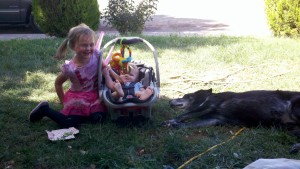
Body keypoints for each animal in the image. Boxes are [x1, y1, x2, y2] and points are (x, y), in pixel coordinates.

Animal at [162, 89, 300, 154]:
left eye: (185, 96)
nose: (169, 101)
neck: (209, 98)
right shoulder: (213, 119)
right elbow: (189, 123)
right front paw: (176, 124)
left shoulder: (208, 107)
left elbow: (186, 114)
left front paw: (172, 121)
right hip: (291, 128)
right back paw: (296, 147)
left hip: (295, 110)